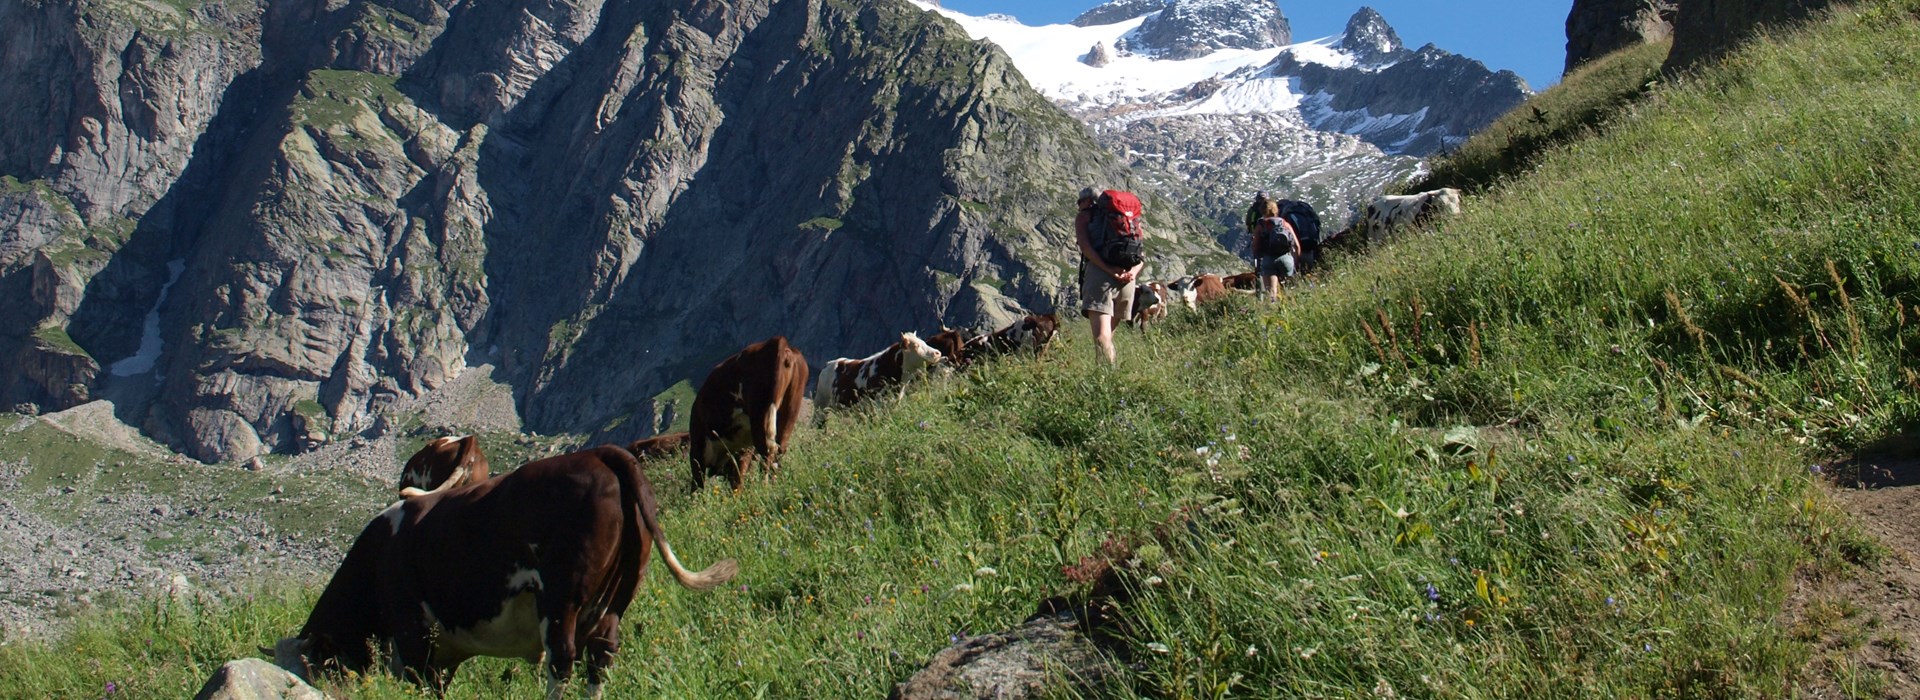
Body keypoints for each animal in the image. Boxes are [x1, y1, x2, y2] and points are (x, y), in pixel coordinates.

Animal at [274, 444, 737, 694]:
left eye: (309, 669)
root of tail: (601, 454)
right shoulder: (442, 651)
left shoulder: (414, 638)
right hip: (614, 600)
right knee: (600, 659)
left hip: (561, 598)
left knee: (561, 662)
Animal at [691, 337, 810, 490]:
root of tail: (780, 343)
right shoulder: (743, 449)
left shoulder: (697, 448)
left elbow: (698, 482)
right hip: (789, 411)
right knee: (778, 451)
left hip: (761, 414)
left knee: (767, 451)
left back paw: (764, 488)